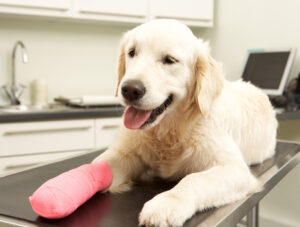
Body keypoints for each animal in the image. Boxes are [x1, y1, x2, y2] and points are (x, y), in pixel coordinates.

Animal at [93, 20, 276, 227]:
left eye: (169, 60)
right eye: (132, 52)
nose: (130, 89)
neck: (170, 129)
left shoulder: (235, 169)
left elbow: (193, 179)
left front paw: (165, 204)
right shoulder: (126, 152)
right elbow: (99, 165)